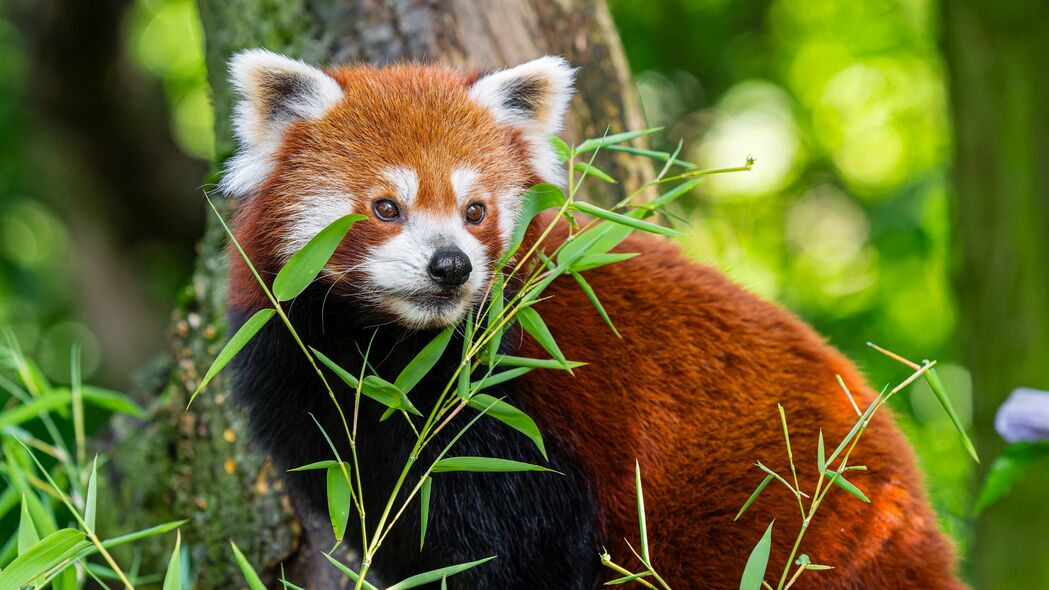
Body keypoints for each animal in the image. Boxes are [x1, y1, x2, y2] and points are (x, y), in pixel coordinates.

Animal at [223, 50, 965, 587]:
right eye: (385, 207)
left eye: (475, 211)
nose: (451, 266)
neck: (391, 354)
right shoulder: (306, 387)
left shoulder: (521, 417)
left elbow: (524, 552)